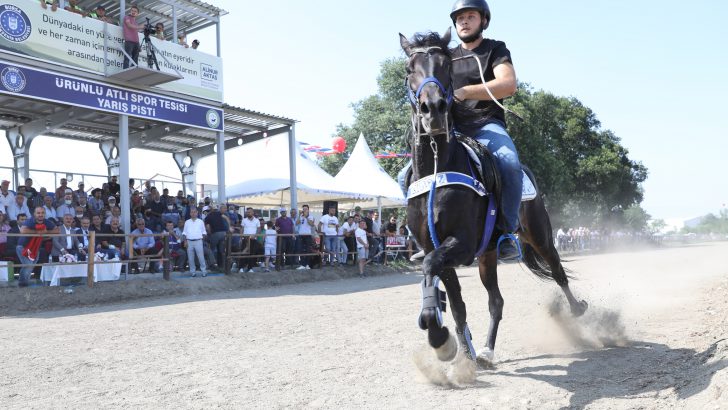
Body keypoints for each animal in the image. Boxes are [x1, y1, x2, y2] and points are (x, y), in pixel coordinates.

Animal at [400, 28, 588, 368]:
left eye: (446, 67)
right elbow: (453, 299)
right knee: (496, 301)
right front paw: (459, 349)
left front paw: (439, 337)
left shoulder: (461, 243)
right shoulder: (438, 248)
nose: (433, 109)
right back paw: (486, 351)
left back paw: (577, 309)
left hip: (540, 235)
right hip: (488, 255)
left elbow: (433, 270)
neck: (438, 169)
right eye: (409, 69)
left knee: (557, 271)